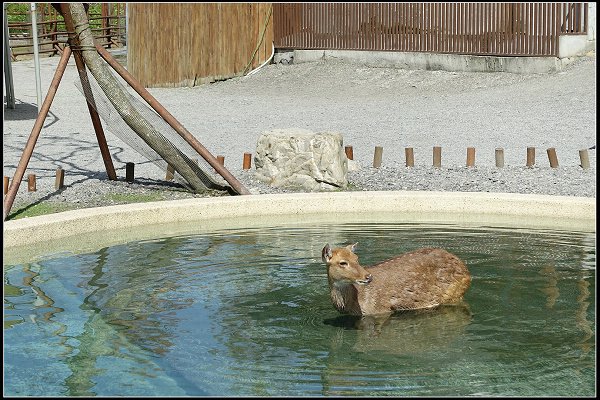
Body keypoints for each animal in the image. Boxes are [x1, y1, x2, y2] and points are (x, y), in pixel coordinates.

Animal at [322, 242, 472, 318]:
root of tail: (465, 269)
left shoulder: (380, 311)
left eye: (356, 258)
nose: (368, 276)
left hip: (455, 294)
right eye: (342, 262)